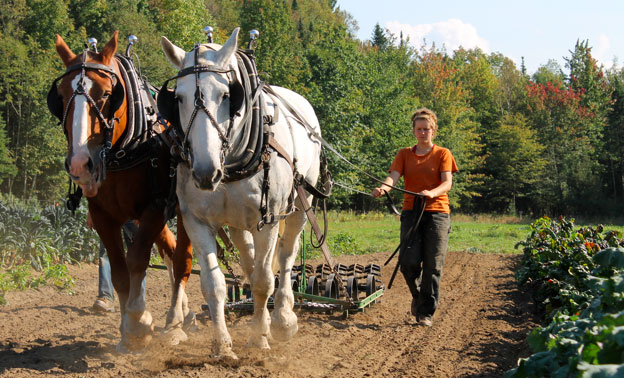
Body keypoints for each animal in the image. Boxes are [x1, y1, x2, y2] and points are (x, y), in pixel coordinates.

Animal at [47, 31, 194, 352]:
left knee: (182, 258)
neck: (126, 148)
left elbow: (137, 259)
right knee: (169, 250)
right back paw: (183, 315)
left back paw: (175, 323)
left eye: (106, 94)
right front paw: (129, 331)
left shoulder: (156, 207)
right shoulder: (103, 214)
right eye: (60, 97)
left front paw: (139, 320)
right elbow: (119, 270)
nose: (80, 164)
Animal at [160, 27, 322, 358]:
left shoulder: (269, 220)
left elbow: (263, 281)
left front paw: (260, 338)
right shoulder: (196, 221)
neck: (231, 163)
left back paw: (283, 318)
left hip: (302, 204)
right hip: (237, 222)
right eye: (178, 98)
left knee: (286, 255)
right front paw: (223, 345)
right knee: (250, 260)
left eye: (226, 95)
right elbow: (214, 284)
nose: (205, 172)